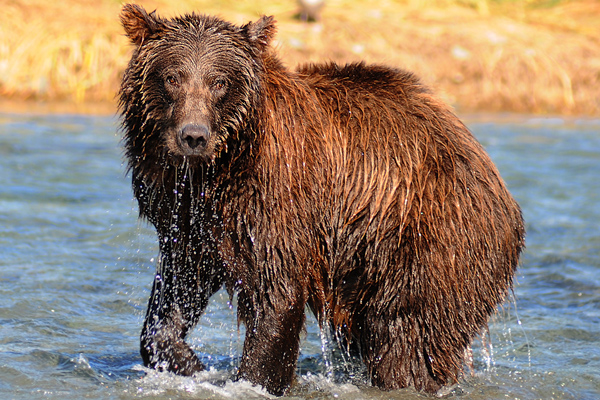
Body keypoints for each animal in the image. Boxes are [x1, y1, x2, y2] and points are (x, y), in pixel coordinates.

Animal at [118, 3, 524, 396]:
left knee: (409, 338)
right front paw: (190, 365)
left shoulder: (277, 197)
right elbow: (177, 290)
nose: (193, 136)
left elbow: (277, 296)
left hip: (431, 241)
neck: (219, 169)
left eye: (219, 81)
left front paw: (250, 379)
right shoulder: (190, 218)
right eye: (172, 77)